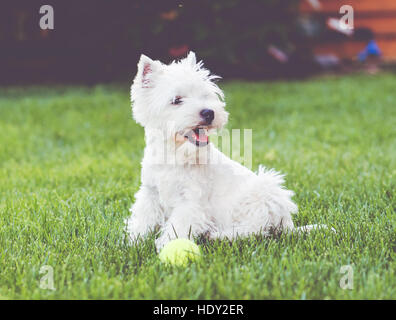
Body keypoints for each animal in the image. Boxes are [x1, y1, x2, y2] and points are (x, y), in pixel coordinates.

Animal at [125, 51, 324, 250]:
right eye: (176, 100)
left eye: (205, 95)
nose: (209, 113)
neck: (174, 155)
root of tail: (289, 225)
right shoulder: (150, 193)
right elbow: (143, 220)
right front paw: (134, 242)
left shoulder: (191, 201)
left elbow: (178, 227)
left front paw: (167, 246)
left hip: (262, 193)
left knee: (257, 229)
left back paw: (219, 236)